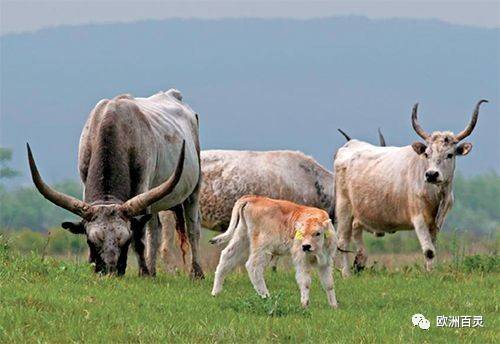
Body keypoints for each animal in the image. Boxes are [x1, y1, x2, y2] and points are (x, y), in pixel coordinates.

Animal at [26, 90, 203, 278]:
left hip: (194, 189)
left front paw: (143, 273)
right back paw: (153, 271)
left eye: (125, 240)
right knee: (154, 230)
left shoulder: (142, 186)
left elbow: (139, 237)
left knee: (192, 229)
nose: (109, 271)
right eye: (91, 241)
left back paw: (196, 273)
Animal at [209, 196, 338, 310]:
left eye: (318, 233)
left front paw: (334, 305)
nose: (306, 246)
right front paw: (305, 304)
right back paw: (266, 296)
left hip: (242, 237)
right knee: (253, 266)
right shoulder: (302, 261)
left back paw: (216, 293)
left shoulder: (326, 262)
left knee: (226, 256)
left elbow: (329, 283)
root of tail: (253, 198)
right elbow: (305, 282)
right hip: (262, 247)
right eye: (301, 233)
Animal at [334, 100, 486, 276]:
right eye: (427, 154)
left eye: (450, 154)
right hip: (344, 207)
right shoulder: (418, 218)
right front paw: (430, 276)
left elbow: (432, 248)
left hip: (359, 213)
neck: (435, 195)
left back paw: (359, 264)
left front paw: (430, 272)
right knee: (342, 242)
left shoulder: (437, 223)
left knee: (356, 234)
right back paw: (346, 274)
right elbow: (429, 251)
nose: (431, 174)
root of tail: (349, 145)